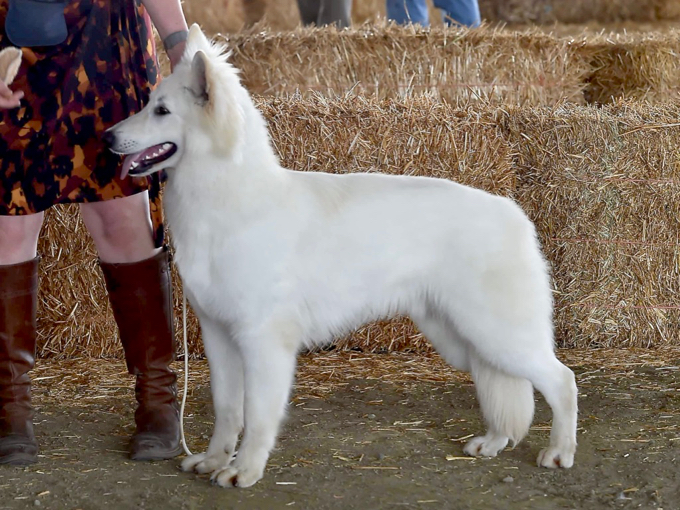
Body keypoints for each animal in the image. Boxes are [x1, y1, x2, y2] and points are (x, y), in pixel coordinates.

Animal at [105, 25, 572, 488]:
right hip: (463, 339)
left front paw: (244, 469)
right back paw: (494, 442)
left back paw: (559, 452)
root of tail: (514, 213)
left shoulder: (262, 341)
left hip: (496, 333)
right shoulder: (219, 337)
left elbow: (257, 415)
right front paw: (214, 459)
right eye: (148, 103)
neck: (229, 195)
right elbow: (228, 411)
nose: (106, 138)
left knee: (562, 381)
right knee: (504, 383)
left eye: (162, 110)